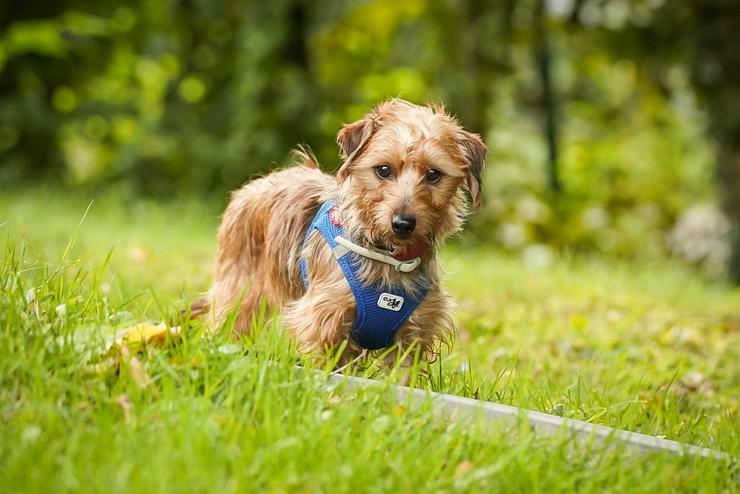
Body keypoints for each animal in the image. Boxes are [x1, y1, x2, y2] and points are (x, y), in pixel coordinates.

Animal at [208, 97, 486, 366]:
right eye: (383, 170)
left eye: (433, 174)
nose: (403, 224)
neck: (388, 258)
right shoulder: (325, 322)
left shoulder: (414, 334)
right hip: (239, 288)